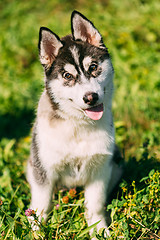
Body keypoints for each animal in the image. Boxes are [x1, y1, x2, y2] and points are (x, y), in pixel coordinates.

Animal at [26, 10, 122, 236]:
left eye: (93, 67)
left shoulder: (100, 168)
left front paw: (99, 231)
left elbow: (95, 205)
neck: (78, 126)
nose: (91, 97)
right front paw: (37, 232)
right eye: (68, 75)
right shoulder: (44, 170)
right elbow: (41, 206)